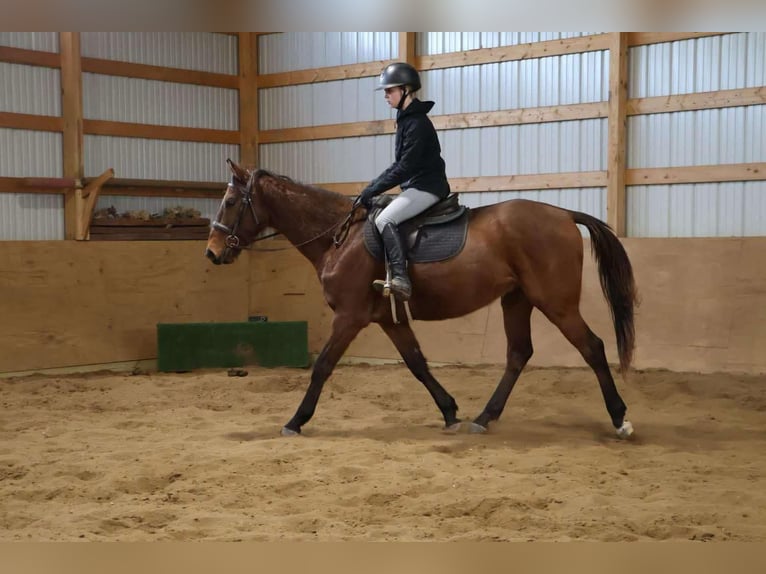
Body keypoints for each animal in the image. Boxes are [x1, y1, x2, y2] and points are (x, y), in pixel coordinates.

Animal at [205, 160, 638, 439]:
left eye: (230, 202)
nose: (211, 253)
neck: (339, 237)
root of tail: (564, 214)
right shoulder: (388, 318)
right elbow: (416, 363)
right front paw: (449, 411)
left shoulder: (349, 317)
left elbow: (323, 366)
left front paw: (296, 421)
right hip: (516, 300)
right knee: (519, 354)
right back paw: (484, 417)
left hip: (555, 302)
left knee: (592, 347)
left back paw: (620, 419)